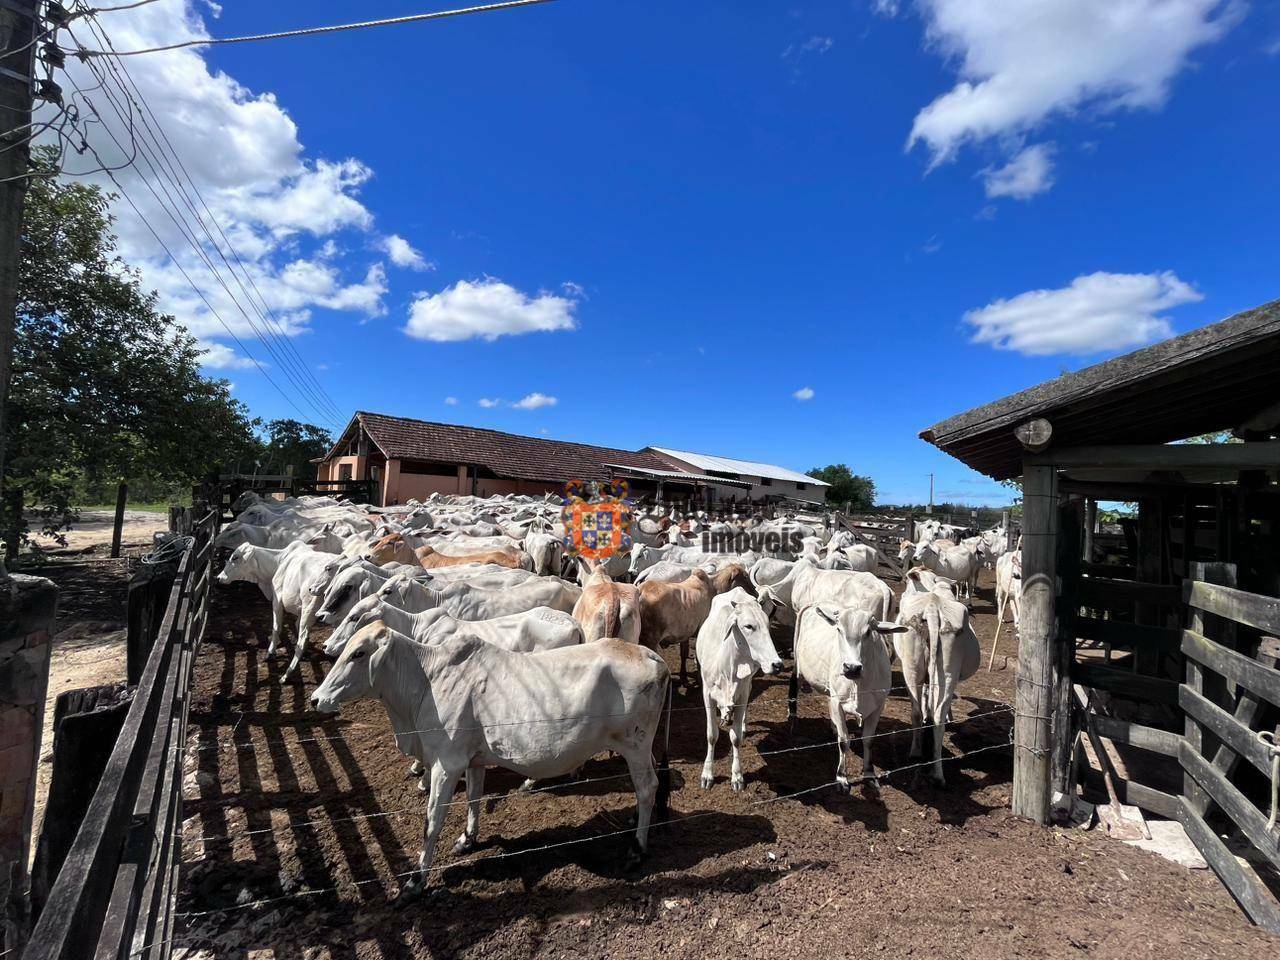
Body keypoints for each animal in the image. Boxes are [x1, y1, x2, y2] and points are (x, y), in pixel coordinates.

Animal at [309, 627, 670, 906]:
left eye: (358, 653)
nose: (315, 699)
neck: (427, 681)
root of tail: (654, 658)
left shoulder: (446, 763)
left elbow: (432, 821)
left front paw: (415, 882)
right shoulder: (473, 759)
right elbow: (474, 797)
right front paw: (468, 839)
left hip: (634, 743)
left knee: (647, 786)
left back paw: (638, 847)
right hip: (640, 748)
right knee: (649, 783)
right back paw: (636, 820)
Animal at [696, 591, 783, 793]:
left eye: (768, 624)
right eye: (748, 626)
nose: (777, 664)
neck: (726, 666)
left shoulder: (742, 693)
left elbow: (735, 738)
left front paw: (737, 776)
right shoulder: (707, 694)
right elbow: (711, 735)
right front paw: (707, 774)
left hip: (749, 682)